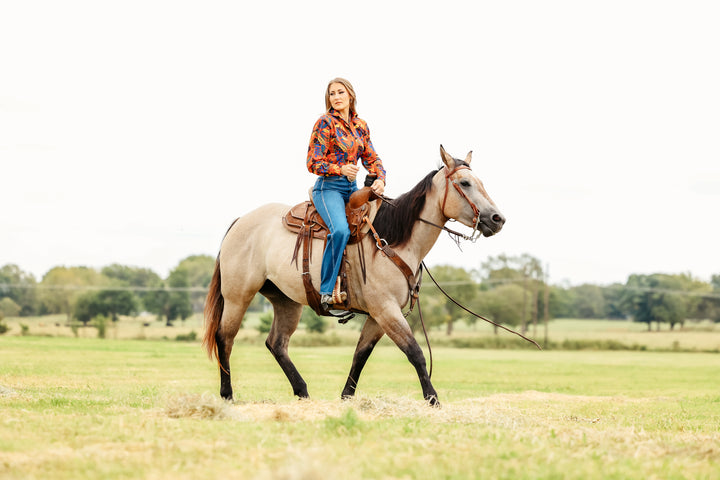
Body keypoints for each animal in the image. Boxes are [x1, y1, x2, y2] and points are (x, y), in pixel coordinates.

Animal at [202, 146, 506, 404]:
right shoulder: (386, 310)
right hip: (238, 296)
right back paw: (227, 394)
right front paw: (433, 399)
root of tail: (240, 221)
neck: (392, 240)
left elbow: (361, 354)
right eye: (465, 183)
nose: (497, 219)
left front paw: (346, 397)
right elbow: (415, 352)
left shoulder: (377, 315)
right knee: (224, 337)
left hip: (286, 300)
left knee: (276, 343)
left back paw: (302, 392)